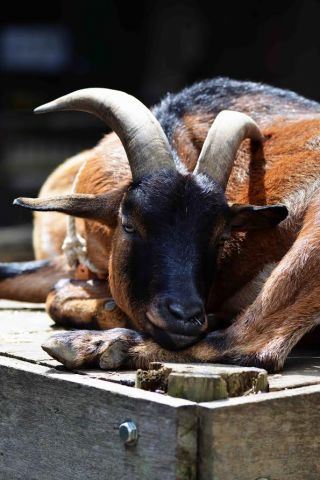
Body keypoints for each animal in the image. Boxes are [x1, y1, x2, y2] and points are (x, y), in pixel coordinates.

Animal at [2, 77, 320, 374]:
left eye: (221, 237)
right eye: (129, 224)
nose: (185, 316)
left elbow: (55, 295)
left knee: (250, 344)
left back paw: (91, 344)